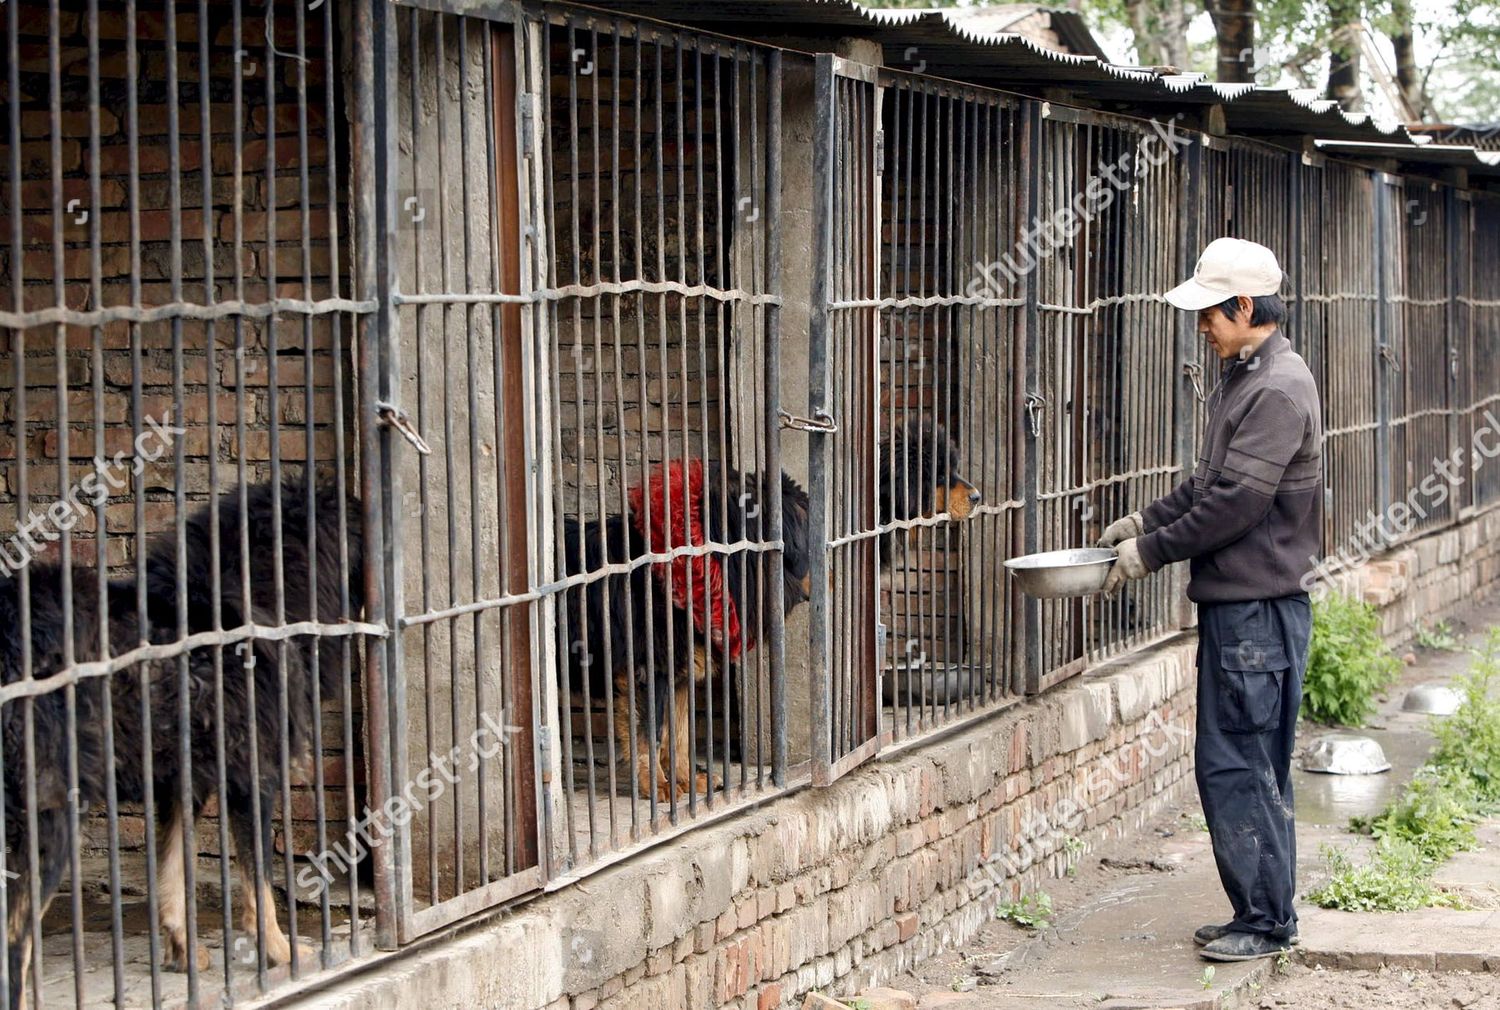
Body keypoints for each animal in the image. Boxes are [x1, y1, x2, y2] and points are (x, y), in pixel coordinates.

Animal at [0, 480, 361, 1002]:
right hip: (51, 813)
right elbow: (260, 880)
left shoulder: (179, 780)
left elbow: (172, 872)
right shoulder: (252, 774)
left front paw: (183, 951)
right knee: (15, 938)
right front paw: (282, 952)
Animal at [561, 414, 972, 798]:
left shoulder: (682, 669)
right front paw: (658, 788)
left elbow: (677, 734)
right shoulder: (651, 667)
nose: (979, 496)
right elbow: (651, 734)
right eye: (806, 536)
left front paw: (687, 783)